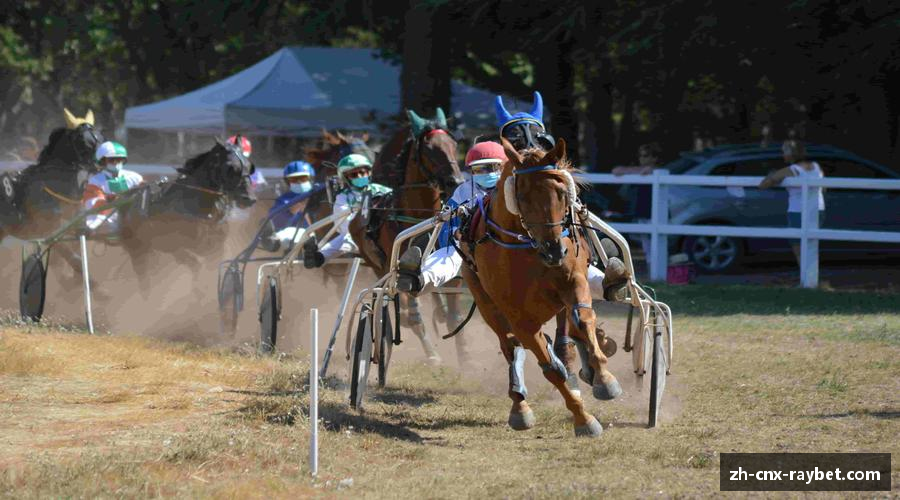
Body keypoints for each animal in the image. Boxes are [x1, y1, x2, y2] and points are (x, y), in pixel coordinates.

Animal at [118, 139, 255, 298]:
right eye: (230, 167)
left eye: (250, 166)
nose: (249, 198)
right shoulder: (174, 246)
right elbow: (196, 265)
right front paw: (197, 294)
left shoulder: (216, 248)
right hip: (138, 250)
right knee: (144, 280)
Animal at [464, 137, 620, 438]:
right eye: (522, 196)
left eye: (561, 193)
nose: (553, 250)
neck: (526, 248)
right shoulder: (519, 319)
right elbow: (550, 369)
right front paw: (584, 419)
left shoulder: (573, 281)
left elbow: (583, 319)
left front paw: (605, 378)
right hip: (487, 304)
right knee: (510, 346)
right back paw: (520, 406)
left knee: (569, 332)